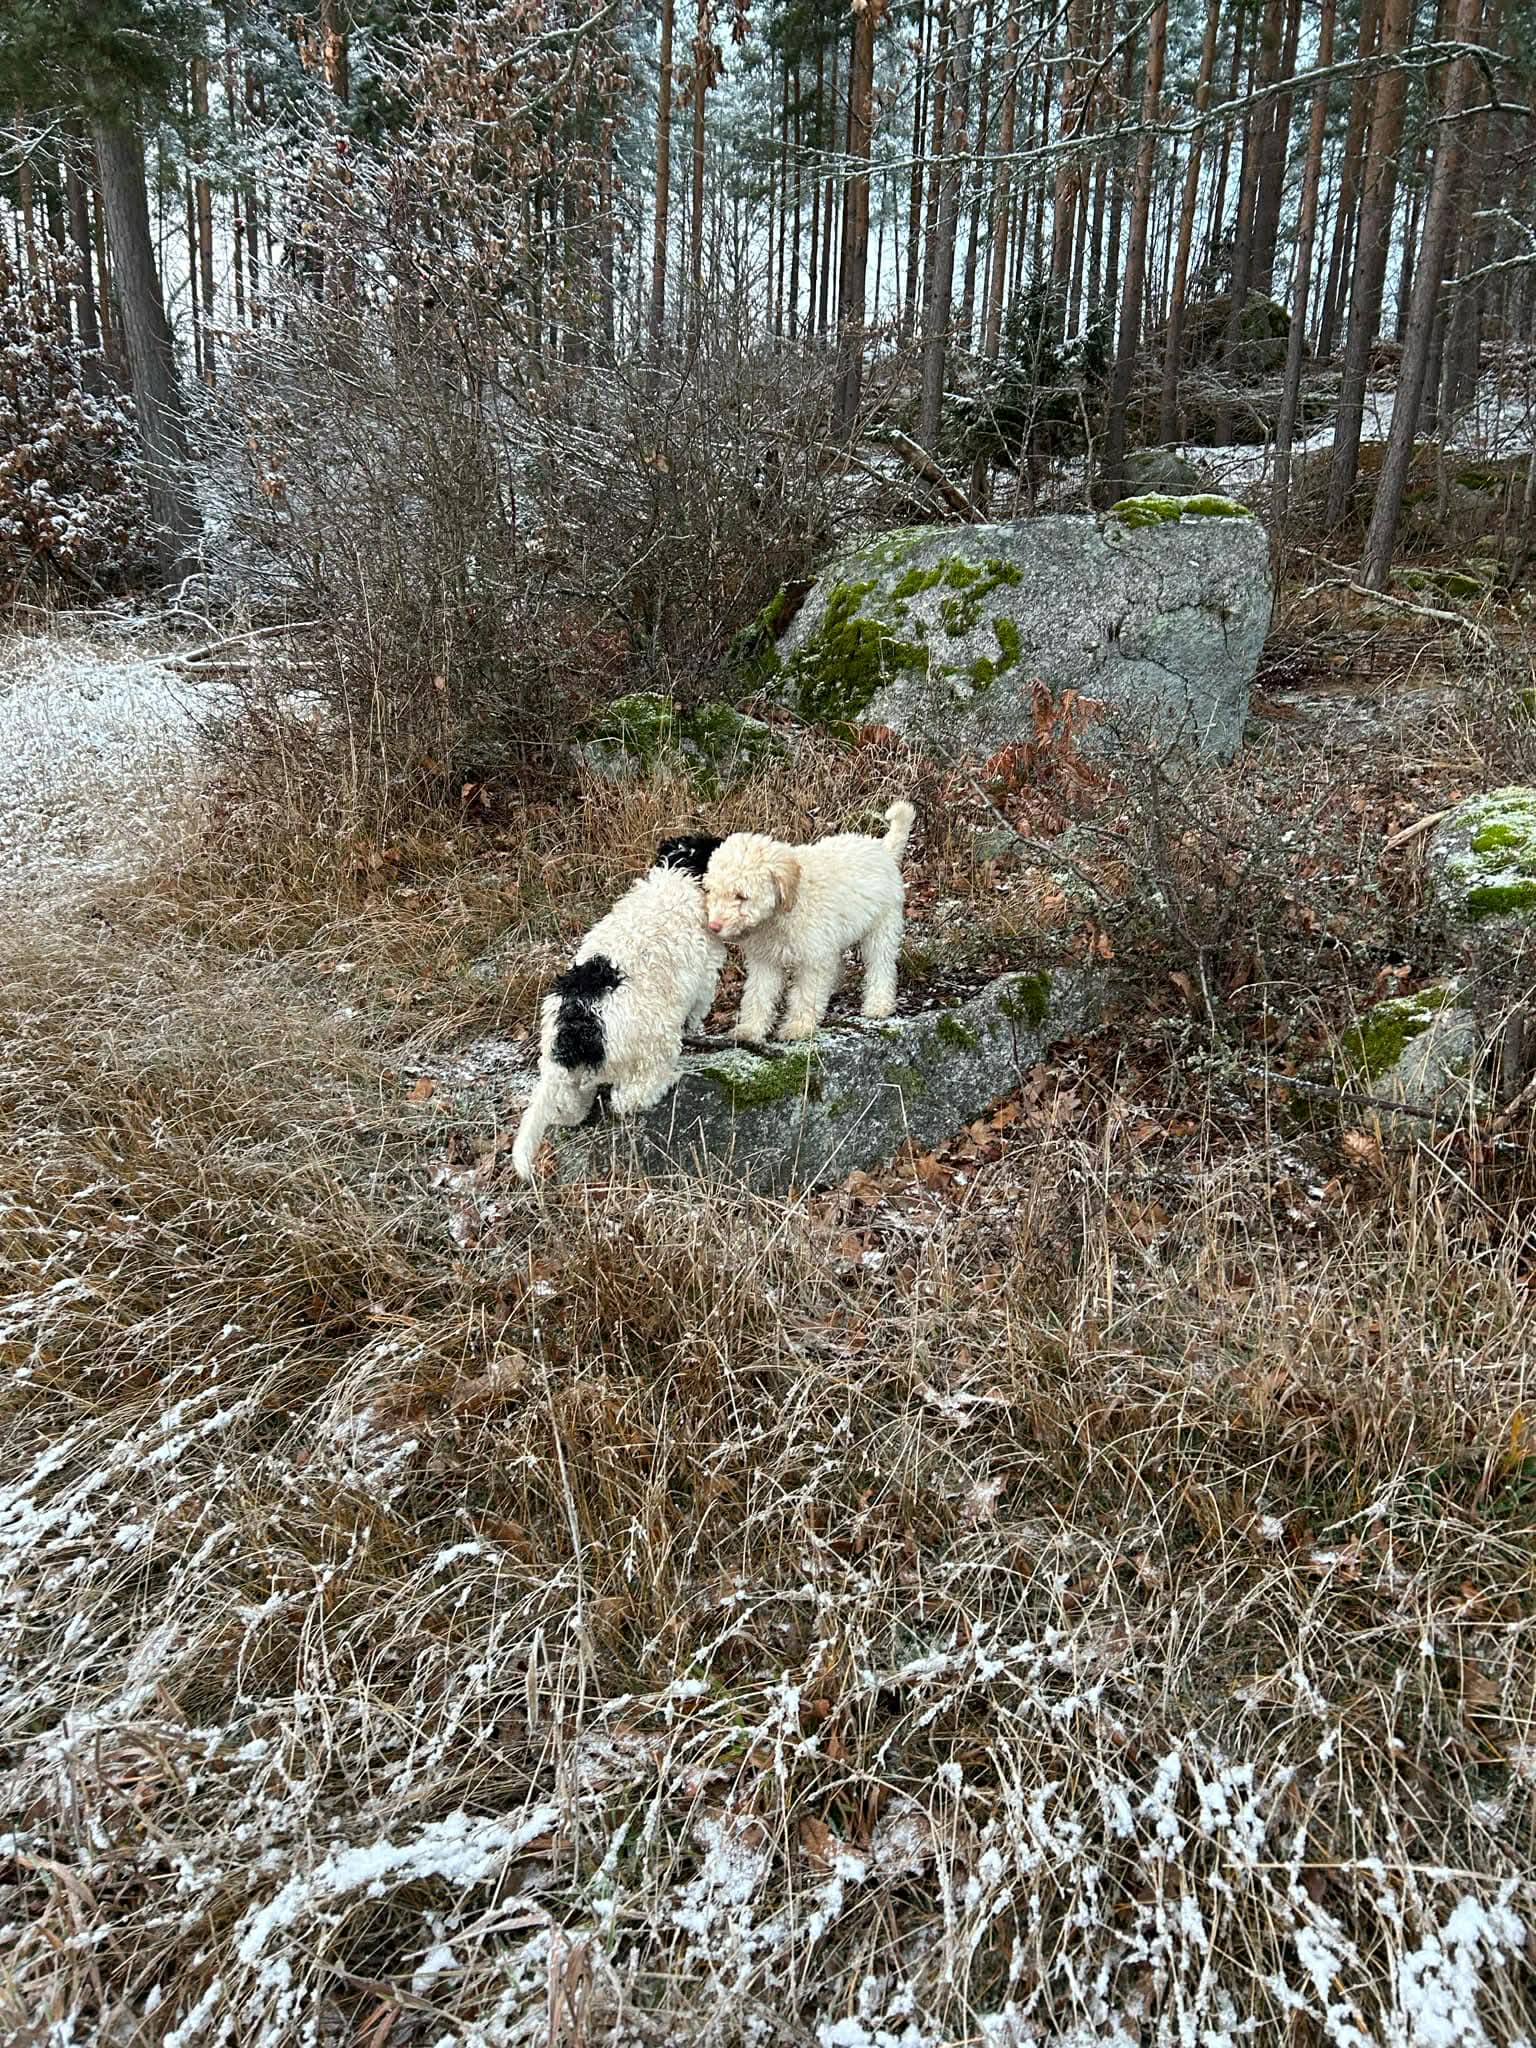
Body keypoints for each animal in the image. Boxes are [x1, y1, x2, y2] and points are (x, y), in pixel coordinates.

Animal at [511, 834, 725, 1182]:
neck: (678, 875)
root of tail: (575, 1029)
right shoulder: (704, 979)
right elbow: (698, 1010)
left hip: (564, 1077)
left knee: (572, 1106)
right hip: (654, 1047)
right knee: (628, 1098)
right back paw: (670, 1079)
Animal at [702, 801, 916, 1042]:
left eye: (741, 896)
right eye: (711, 890)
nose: (714, 926)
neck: (784, 909)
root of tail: (883, 848)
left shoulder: (813, 959)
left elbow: (805, 994)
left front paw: (798, 1026)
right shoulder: (765, 960)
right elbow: (758, 994)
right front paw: (750, 1028)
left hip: (882, 927)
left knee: (882, 966)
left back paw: (879, 1004)